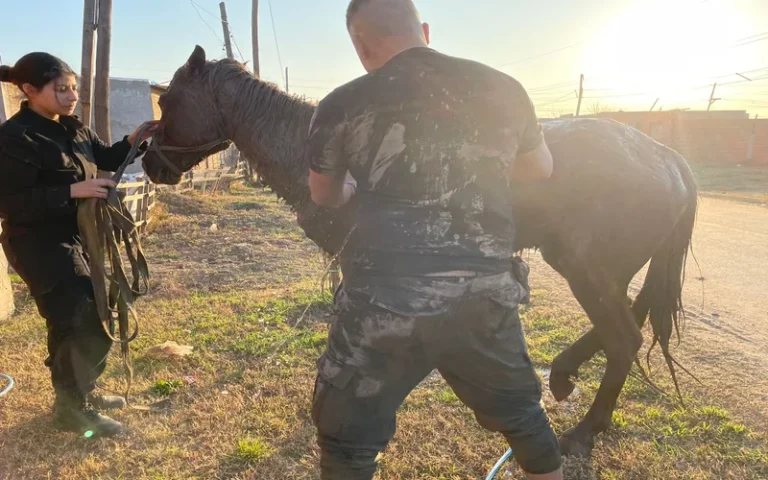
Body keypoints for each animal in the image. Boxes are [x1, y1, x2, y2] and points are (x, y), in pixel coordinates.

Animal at [141, 47, 700, 456]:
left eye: (169, 102)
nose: (149, 164)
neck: (313, 146)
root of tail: (669, 157)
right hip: (601, 271)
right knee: (625, 327)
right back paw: (564, 378)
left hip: (586, 268)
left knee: (625, 338)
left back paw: (584, 430)